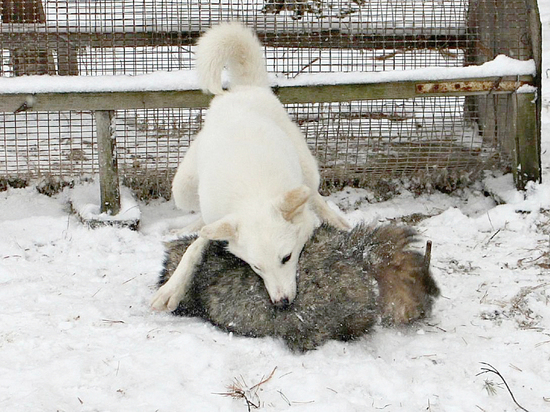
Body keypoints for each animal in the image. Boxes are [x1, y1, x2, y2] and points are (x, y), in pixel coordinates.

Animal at [151, 20, 350, 310]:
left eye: (287, 258)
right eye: (257, 267)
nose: (281, 303)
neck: (252, 192)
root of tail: (243, 88)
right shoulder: (219, 218)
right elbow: (194, 247)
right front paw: (172, 288)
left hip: (307, 170)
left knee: (314, 195)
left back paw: (336, 218)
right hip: (183, 188)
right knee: (197, 215)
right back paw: (185, 227)